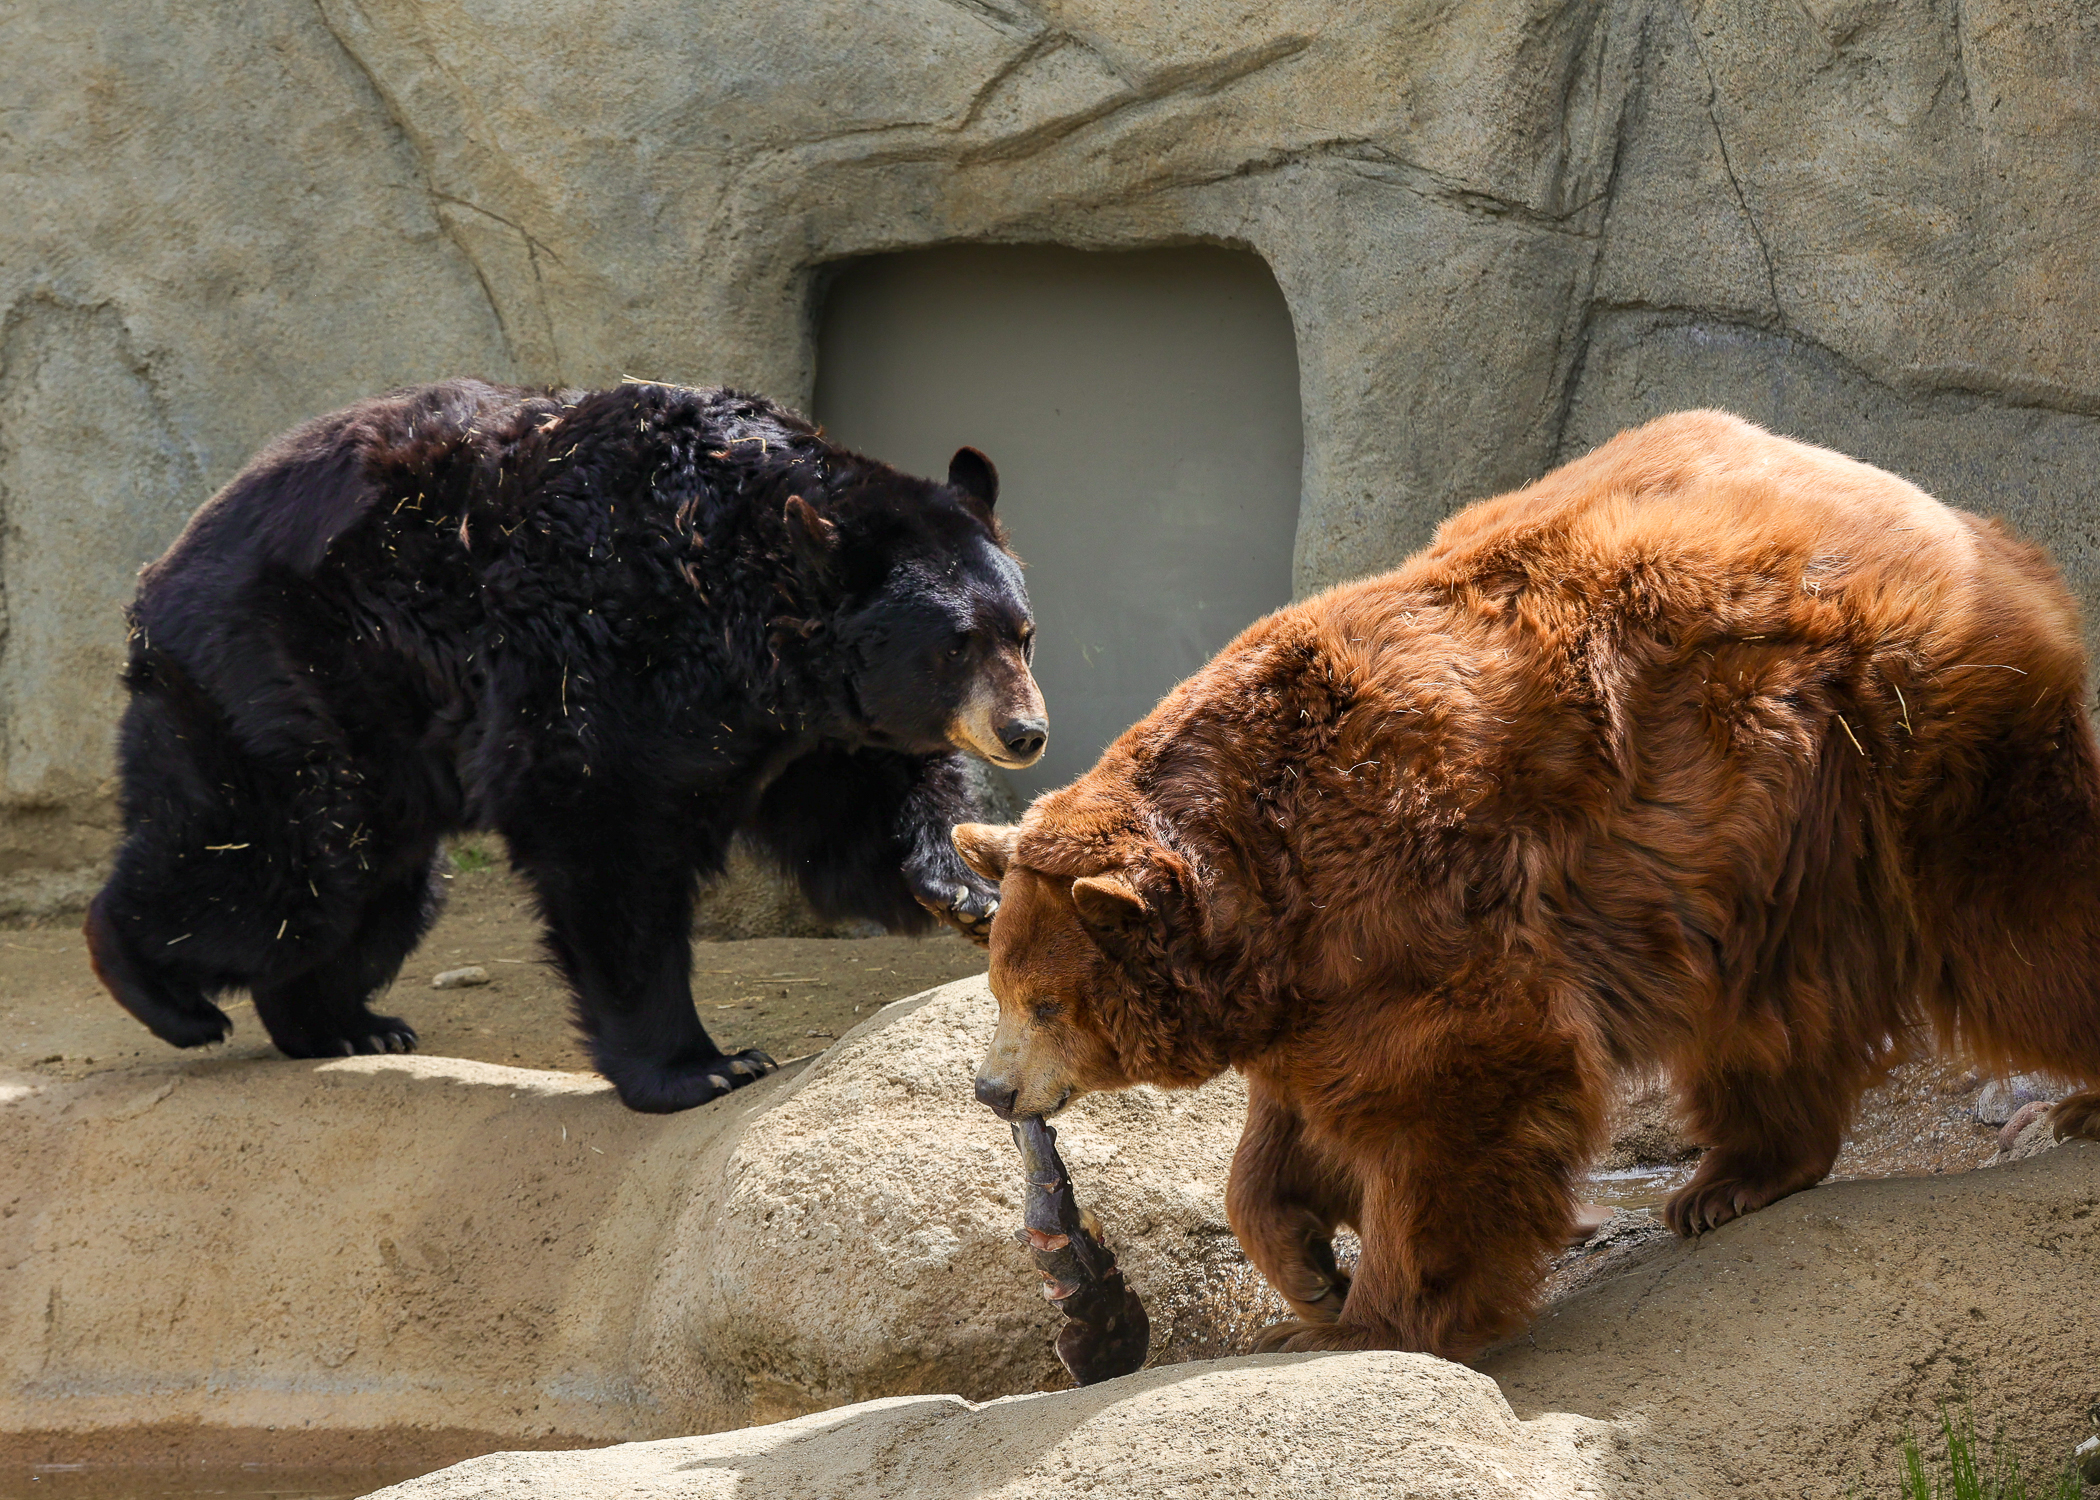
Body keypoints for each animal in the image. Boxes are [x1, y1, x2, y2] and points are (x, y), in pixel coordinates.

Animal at [84, 377, 1046, 1113]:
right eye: (955, 644)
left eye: (1022, 633)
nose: (1026, 732)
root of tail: (158, 576)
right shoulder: (603, 653)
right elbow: (604, 836)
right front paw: (700, 1067)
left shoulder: (800, 726)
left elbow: (859, 810)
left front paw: (966, 889)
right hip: (287, 676)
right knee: (276, 867)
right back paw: (163, 991)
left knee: (374, 895)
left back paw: (344, 1025)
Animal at [957, 409, 2100, 1360]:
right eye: (1001, 989)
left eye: (1045, 1001)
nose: (992, 1089)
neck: (1260, 880)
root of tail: (1956, 514)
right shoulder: (1311, 975)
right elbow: (1291, 1129)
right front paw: (1308, 1270)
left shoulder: (1408, 896)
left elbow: (1453, 1091)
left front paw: (1369, 1317)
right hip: (1778, 830)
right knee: (1770, 1003)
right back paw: (1731, 1180)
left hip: (1901, 732)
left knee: (2022, 912)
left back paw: (2067, 1102)